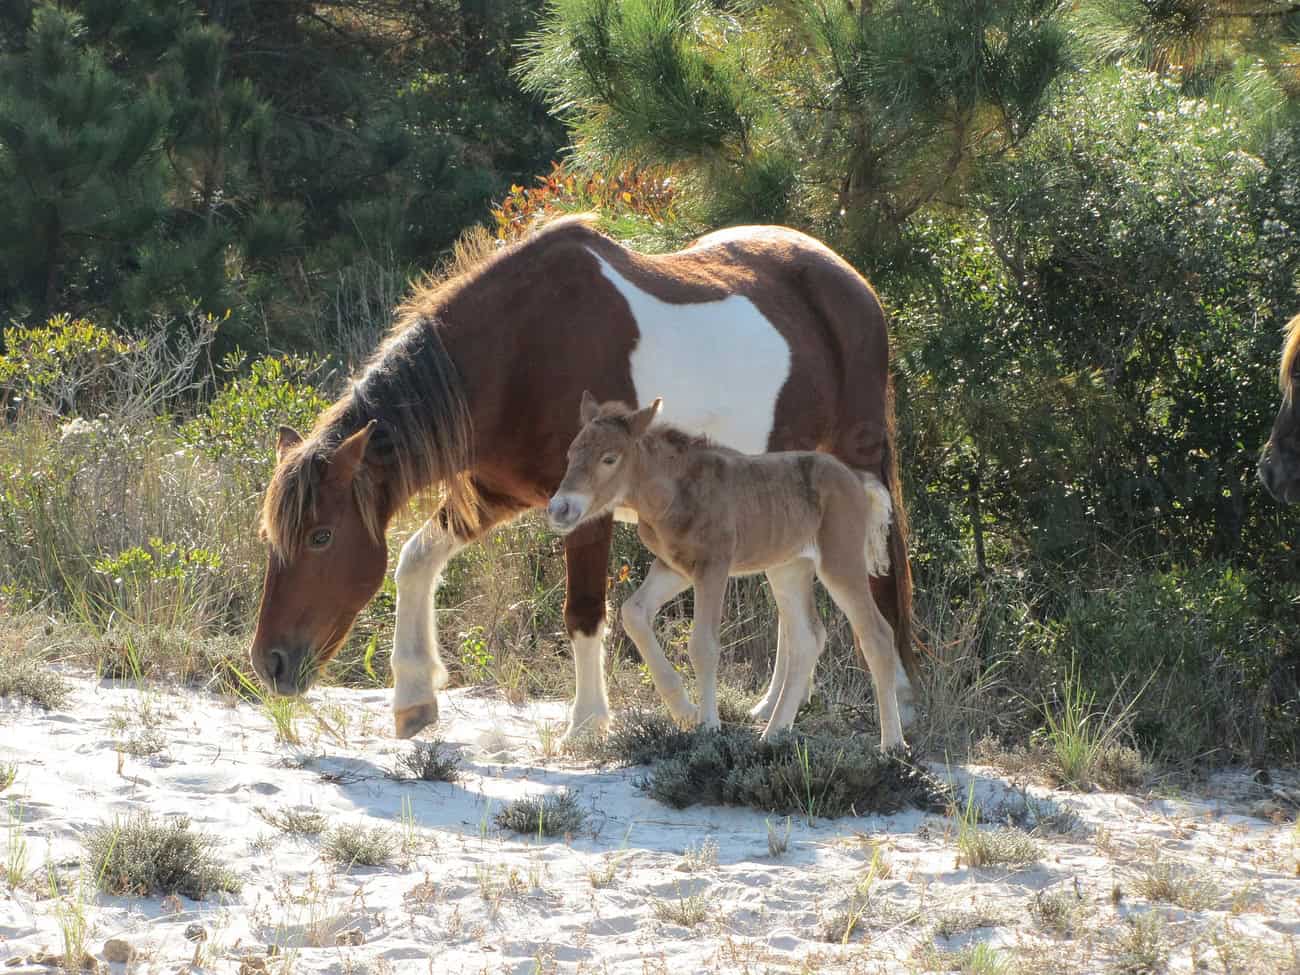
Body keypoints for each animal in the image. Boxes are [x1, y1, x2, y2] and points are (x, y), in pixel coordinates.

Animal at [548, 393, 910, 750]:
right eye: (570, 453)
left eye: (609, 458)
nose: (560, 508)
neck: (672, 493)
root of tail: (859, 480)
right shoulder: (674, 567)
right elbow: (633, 612)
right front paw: (684, 711)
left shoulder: (714, 566)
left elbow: (703, 645)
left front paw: (708, 726)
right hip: (789, 568)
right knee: (808, 638)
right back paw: (773, 734)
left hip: (840, 561)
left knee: (877, 635)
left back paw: (892, 744)